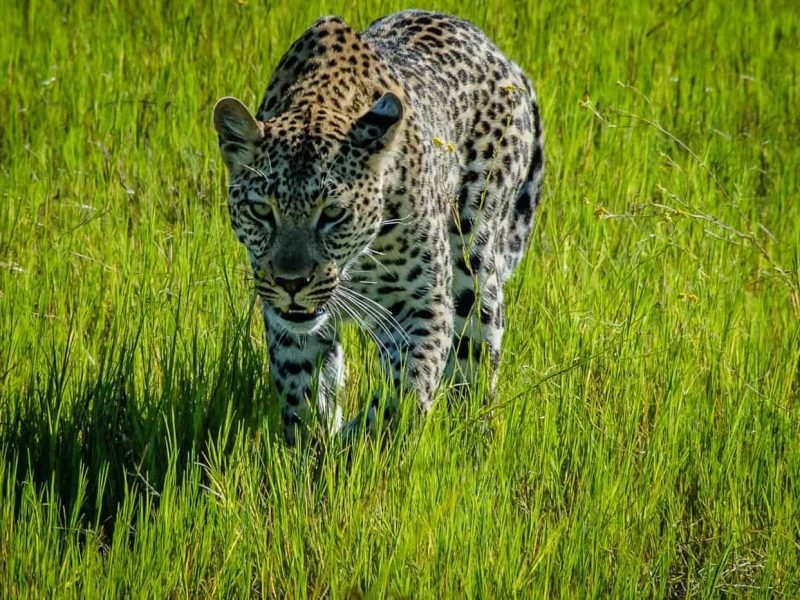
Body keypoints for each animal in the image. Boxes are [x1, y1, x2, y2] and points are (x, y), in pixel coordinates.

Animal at [212, 10, 544, 445]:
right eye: (260, 210)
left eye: (333, 213)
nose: (291, 283)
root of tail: (504, 57)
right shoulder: (286, 320)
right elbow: (300, 394)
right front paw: (314, 447)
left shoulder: (423, 306)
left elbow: (402, 395)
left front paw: (355, 445)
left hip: (477, 265)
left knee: (474, 364)